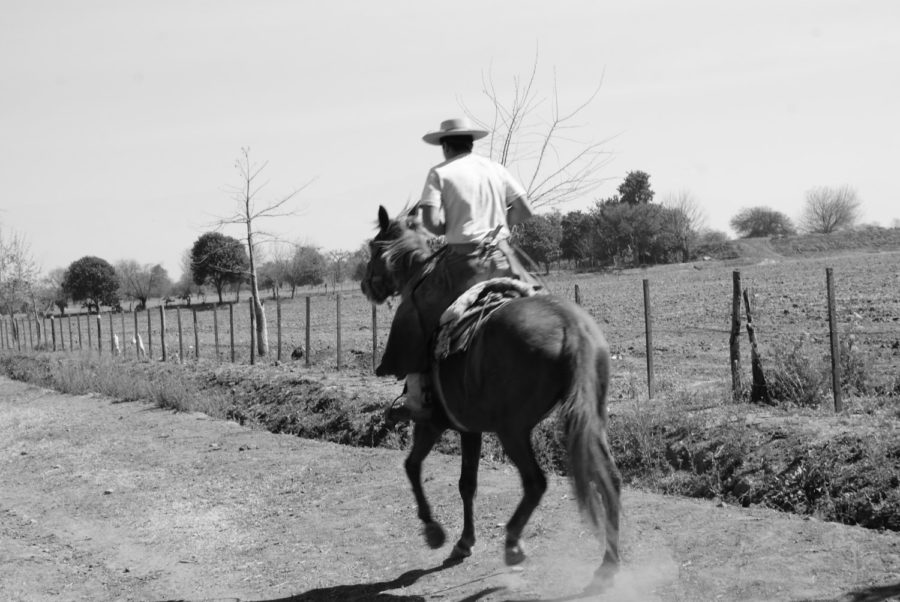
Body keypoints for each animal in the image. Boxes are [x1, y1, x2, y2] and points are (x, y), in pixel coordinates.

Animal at [362, 206, 624, 592]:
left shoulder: (434, 423)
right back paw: (608, 563)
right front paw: (463, 541)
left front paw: (434, 531)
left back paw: (514, 544)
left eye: (373, 247)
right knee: (610, 479)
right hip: (589, 419)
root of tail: (570, 324)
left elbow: (412, 466)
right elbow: (466, 484)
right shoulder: (470, 429)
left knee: (536, 482)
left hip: (512, 430)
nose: (366, 285)